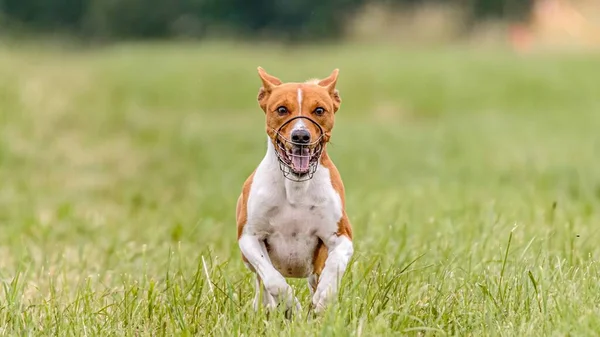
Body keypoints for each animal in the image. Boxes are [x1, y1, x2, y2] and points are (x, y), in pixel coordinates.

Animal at [234, 66, 354, 316]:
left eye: (320, 110)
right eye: (281, 109)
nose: (300, 136)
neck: (296, 186)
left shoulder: (342, 237)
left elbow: (335, 266)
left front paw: (323, 299)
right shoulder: (249, 237)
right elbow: (273, 280)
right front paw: (292, 306)